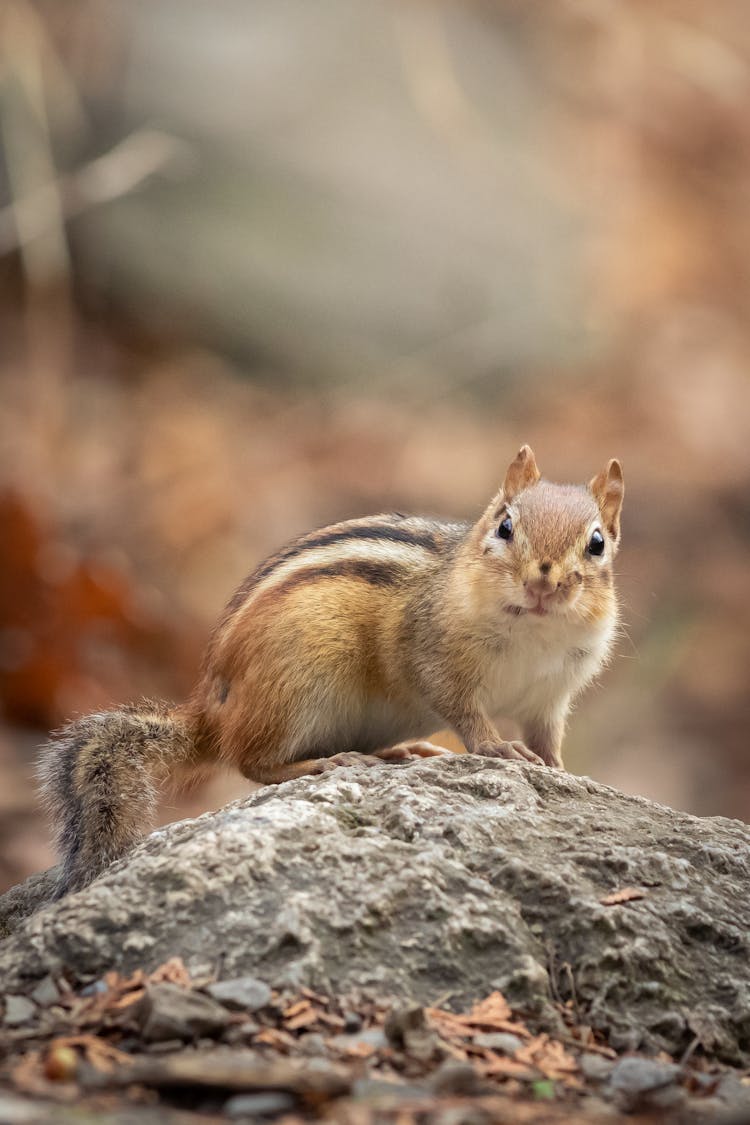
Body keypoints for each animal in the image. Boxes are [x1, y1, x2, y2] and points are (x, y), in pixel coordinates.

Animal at [38, 447, 625, 895]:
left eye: (597, 542)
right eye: (505, 526)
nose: (543, 581)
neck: (534, 632)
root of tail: (213, 708)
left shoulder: (552, 694)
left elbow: (547, 735)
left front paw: (563, 771)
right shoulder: (434, 657)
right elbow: (465, 712)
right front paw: (498, 747)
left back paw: (400, 751)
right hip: (300, 684)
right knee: (251, 761)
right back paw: (322, 763)